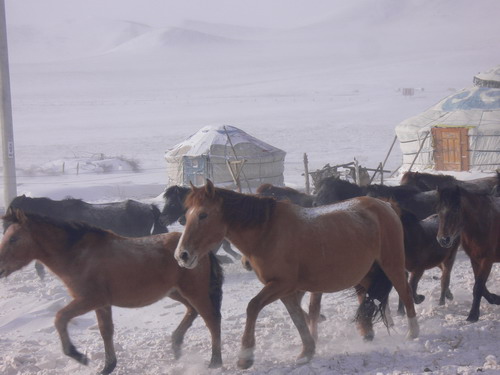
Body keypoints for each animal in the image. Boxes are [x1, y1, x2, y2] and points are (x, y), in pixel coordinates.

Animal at [0, 210, 224, 374]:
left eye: (13, 239)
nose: (0, 268)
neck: (78, 255)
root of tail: (197, 251)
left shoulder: (89, 299)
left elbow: (60, 317)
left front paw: (79, 356)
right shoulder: (102, 304)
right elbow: (105, 331)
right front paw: (107, 367)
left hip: (194, 291)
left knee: (211, 319)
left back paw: (215, 361)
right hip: (175, 292)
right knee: (192, 312)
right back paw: (176, 346)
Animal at [172, 181, 418, 370]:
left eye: (203, 215)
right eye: (186, 215)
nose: (182, 255)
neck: (267, 233)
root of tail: (385, 205)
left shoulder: (281, 285)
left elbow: (253, 307)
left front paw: (245, 356)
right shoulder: (286, 290)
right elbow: (298, 317)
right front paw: (307, 351)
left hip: (392, 265)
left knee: (405, 293)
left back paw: (412, 332)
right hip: (365, 272)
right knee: (367, 297)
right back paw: (367, 332)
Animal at [436, 187, 500, 322]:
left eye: (455, 210)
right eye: (438, 210)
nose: (443, 240)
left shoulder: (487, 260)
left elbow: (478, 287)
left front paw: (473, 315)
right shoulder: (475, 259)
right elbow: (480, 285)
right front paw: (496, 298)